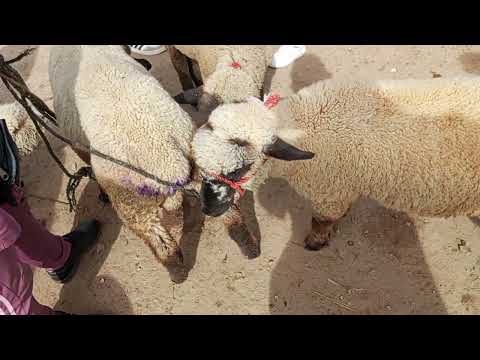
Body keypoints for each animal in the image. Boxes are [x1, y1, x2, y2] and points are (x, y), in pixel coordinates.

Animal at [49, 45, 197, 276]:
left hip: (132, 203)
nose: (147, 65)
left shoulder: (77, 142)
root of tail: (171, 163)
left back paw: (176, 272)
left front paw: (101, 194)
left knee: (164, 247)